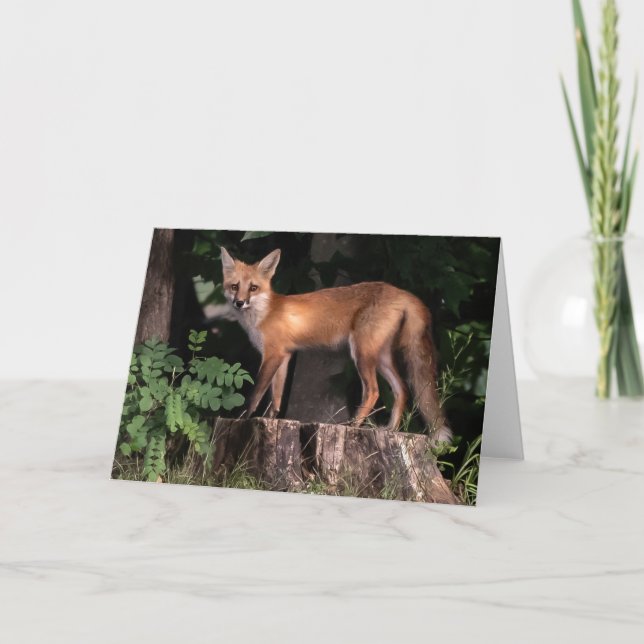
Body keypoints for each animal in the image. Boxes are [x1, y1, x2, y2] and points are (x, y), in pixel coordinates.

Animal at [220, 247, 452, 442]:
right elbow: (275, 396)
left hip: (361, 353)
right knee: (402, 389)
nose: (239, 302)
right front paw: (270, 420)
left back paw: (353, 425)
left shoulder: (273, 354)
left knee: (374, 391)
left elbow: (256, 393)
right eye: (234, 287)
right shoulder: (283, 355)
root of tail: (402, 292)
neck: (264, 312)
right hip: (381, 357)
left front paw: (242, 417)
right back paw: (391, 429)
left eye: (253, 288)